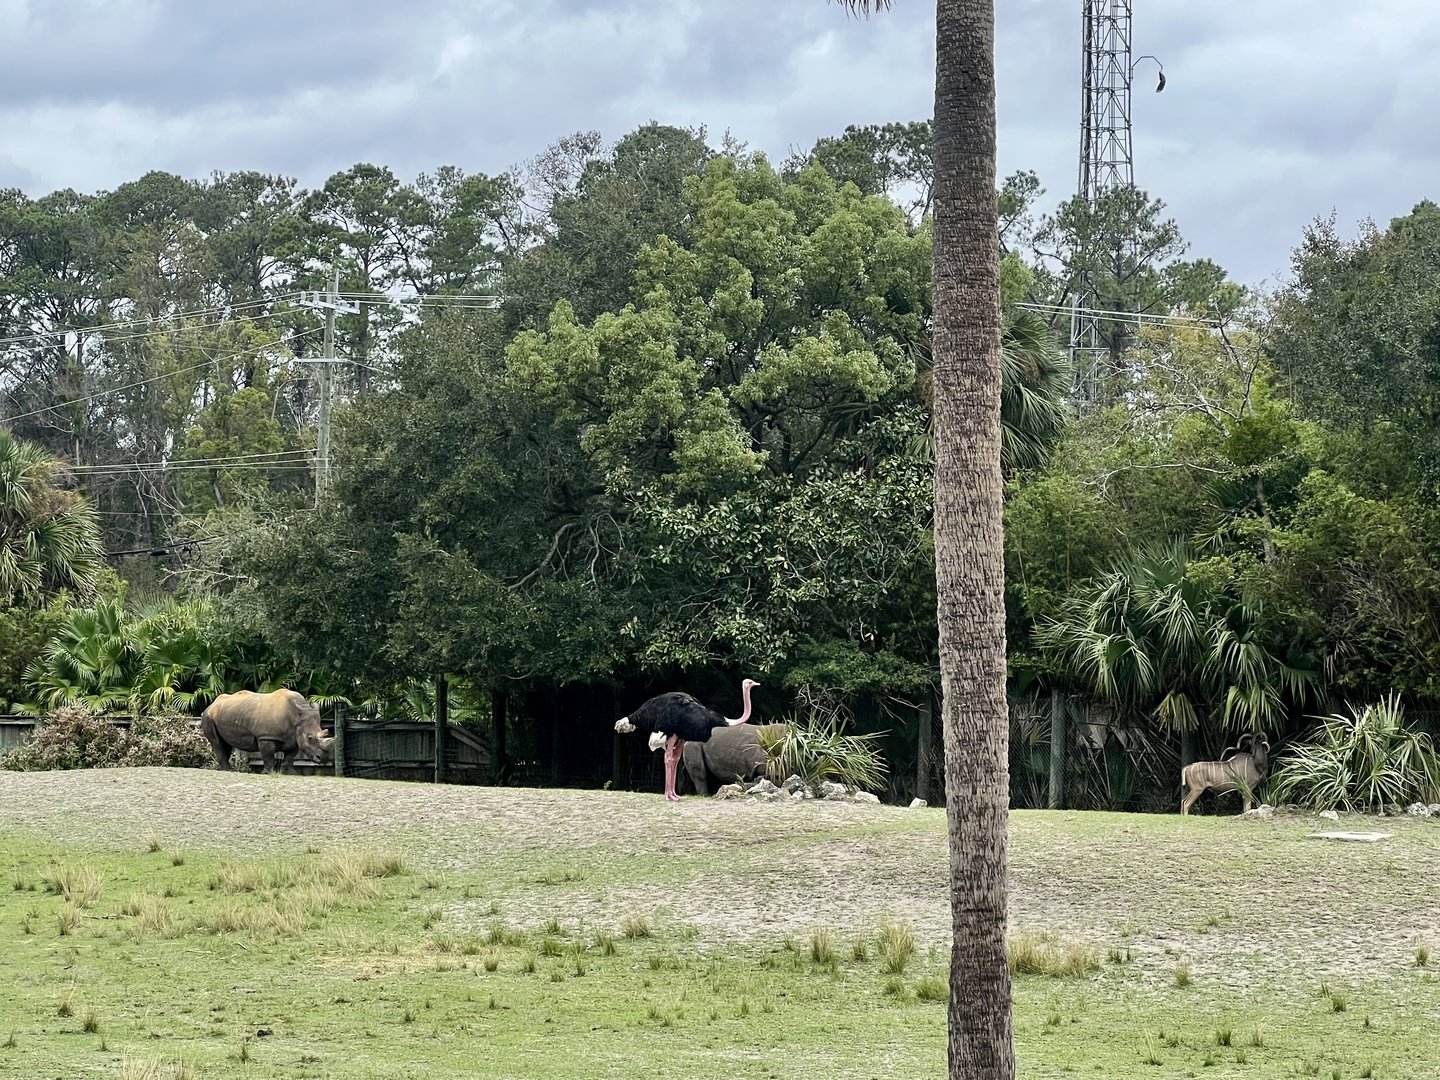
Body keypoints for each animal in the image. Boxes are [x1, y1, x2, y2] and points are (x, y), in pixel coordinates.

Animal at [201, 689, 335, 774]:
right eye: (310, 738)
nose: (323, 758)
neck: (296, 717)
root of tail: (212, 704)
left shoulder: (294, 738)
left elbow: (289, 758)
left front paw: (290, 773)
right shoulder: (266, 737)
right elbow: (268, 756)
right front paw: (269, 773)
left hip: (223, 713)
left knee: (225, 744)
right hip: (208, 716)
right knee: (217, 743)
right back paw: (229, 770)